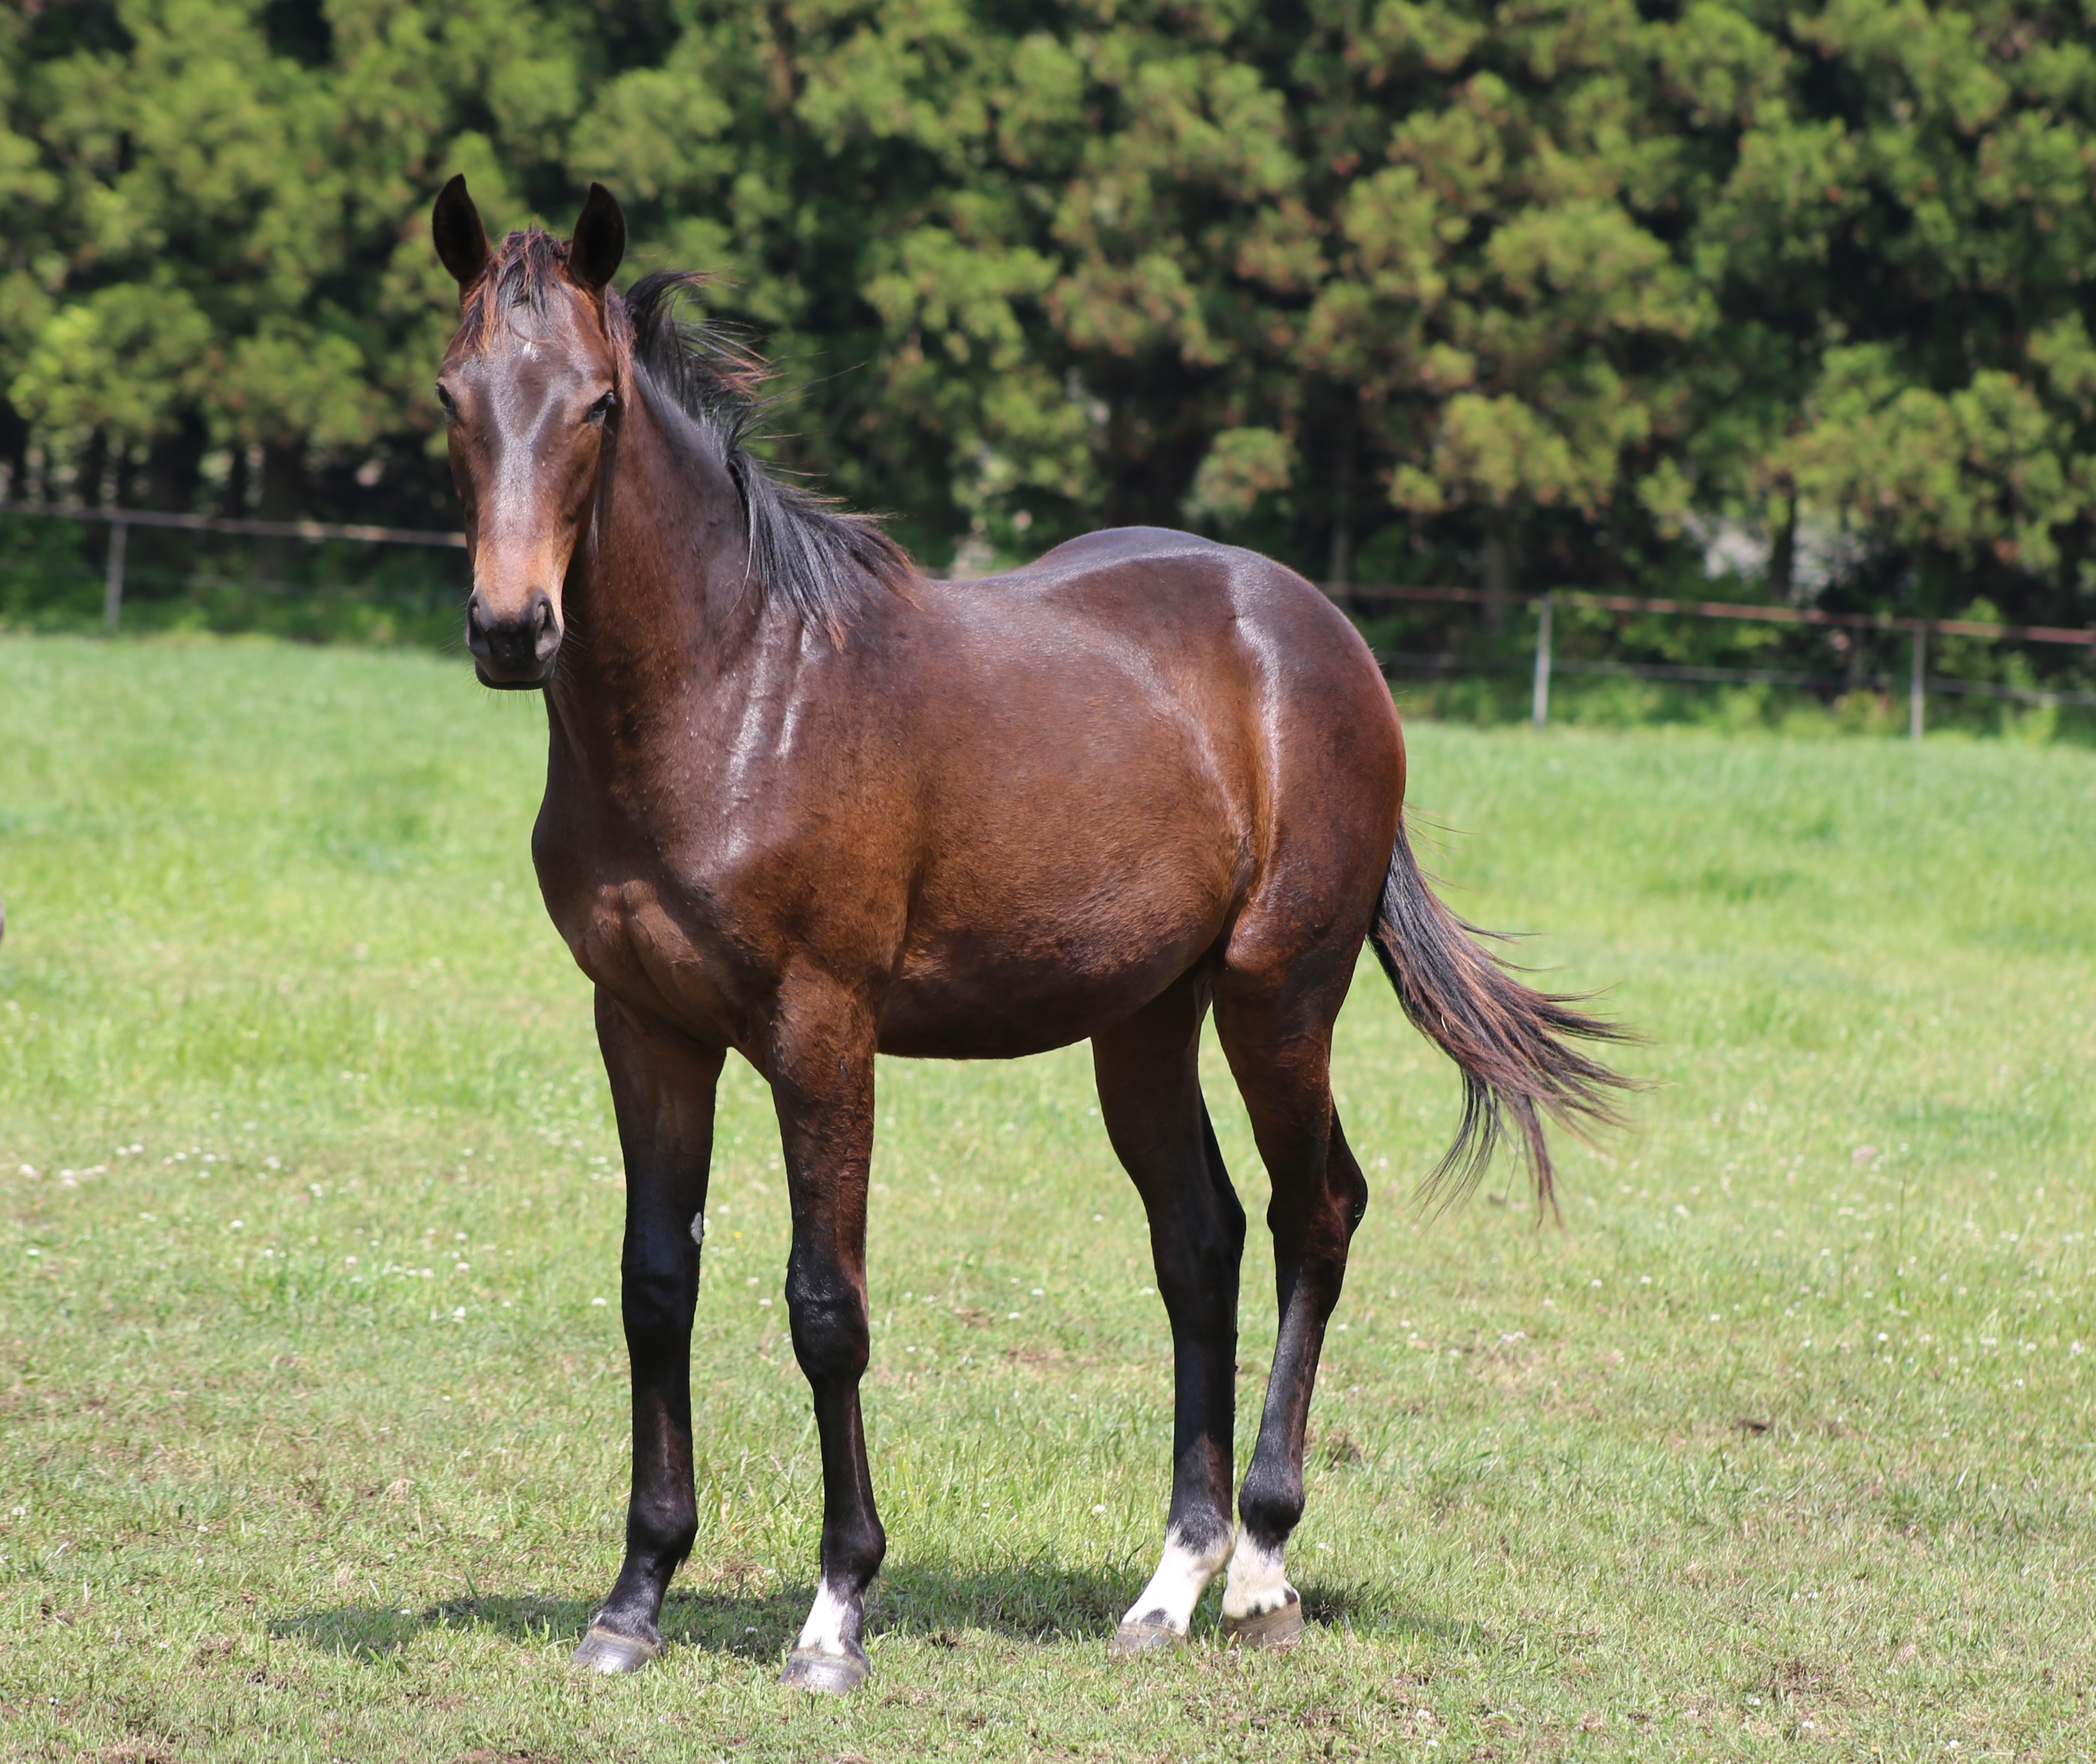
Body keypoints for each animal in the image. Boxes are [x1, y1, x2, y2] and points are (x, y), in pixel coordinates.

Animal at [429, 179, 1634, 1695]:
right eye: (452, 394)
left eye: (595, 404)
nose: (509, 626)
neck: (734, 689)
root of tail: (1315, 630)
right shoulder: (643, 1025)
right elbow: (657, 1286)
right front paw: (633, 1598)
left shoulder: (821, 1030)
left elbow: (825, 1304)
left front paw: (835, 1613)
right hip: (1144, 1019)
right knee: (1200, 1236)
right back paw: (1168, 1582)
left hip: (1277, 994)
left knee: (1315, 1209)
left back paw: (1259, 1565)